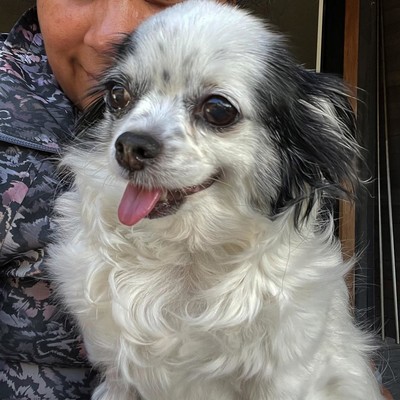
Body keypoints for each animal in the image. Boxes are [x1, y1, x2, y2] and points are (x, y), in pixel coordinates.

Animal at [47, 1, 384, 398]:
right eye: (117, 95)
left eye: (219, 109)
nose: (129, 146)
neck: (184, 250)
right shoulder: (118, 379)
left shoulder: (286, 379)